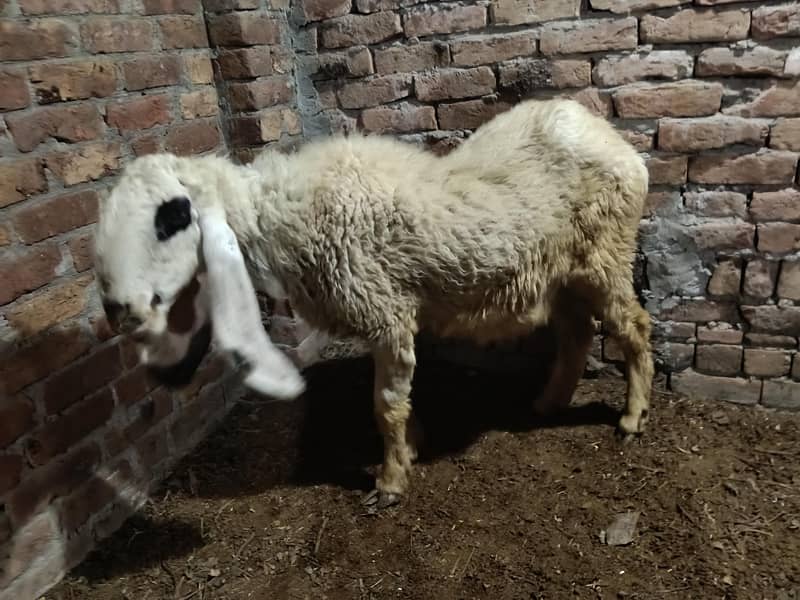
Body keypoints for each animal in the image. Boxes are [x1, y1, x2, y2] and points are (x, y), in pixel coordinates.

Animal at [93, 97, 653, 509]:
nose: (119, 309)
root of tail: (608, 135)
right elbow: (397, 401)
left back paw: (631, 418)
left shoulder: (387, 313)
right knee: (577, 333)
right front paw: (410, 448)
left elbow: (385, 405)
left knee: (634, 328)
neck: (288, 214)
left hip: (606, 252)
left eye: (173, 216)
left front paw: (390, 482)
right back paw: (548, 402)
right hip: (563, 271)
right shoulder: (382, 317)